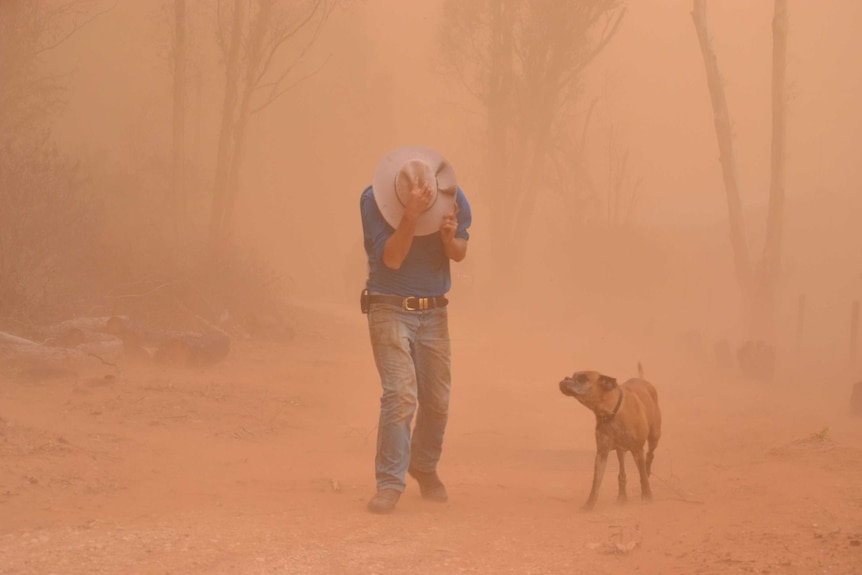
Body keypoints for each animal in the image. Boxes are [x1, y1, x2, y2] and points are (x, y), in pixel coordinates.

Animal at [560, 366, 660, 510]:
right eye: (573, 376)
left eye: (583, 378)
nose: (565, 378)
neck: (611, 413)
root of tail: (643, 380)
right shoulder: (601, 454)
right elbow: (596, 483)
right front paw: (589, 505)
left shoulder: (637, 451)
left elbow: (643, 477)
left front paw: (647, 496)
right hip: (621, 451)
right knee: (622, 474)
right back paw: (622, 497)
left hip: (654, 436)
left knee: (650, 456)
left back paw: (647, 471)